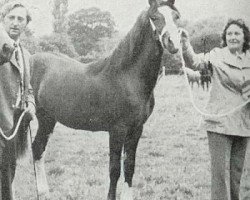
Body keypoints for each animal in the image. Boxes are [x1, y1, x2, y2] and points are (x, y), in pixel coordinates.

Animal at [30, 0, 181, 199]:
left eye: (177, 17)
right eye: (155, 17)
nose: (174, 44)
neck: (127, 77)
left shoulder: (136, 129)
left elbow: (129, 167)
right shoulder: (117, 130)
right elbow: (115, 169)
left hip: (48, 119)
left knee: (38, 148)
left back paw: (43, 192)